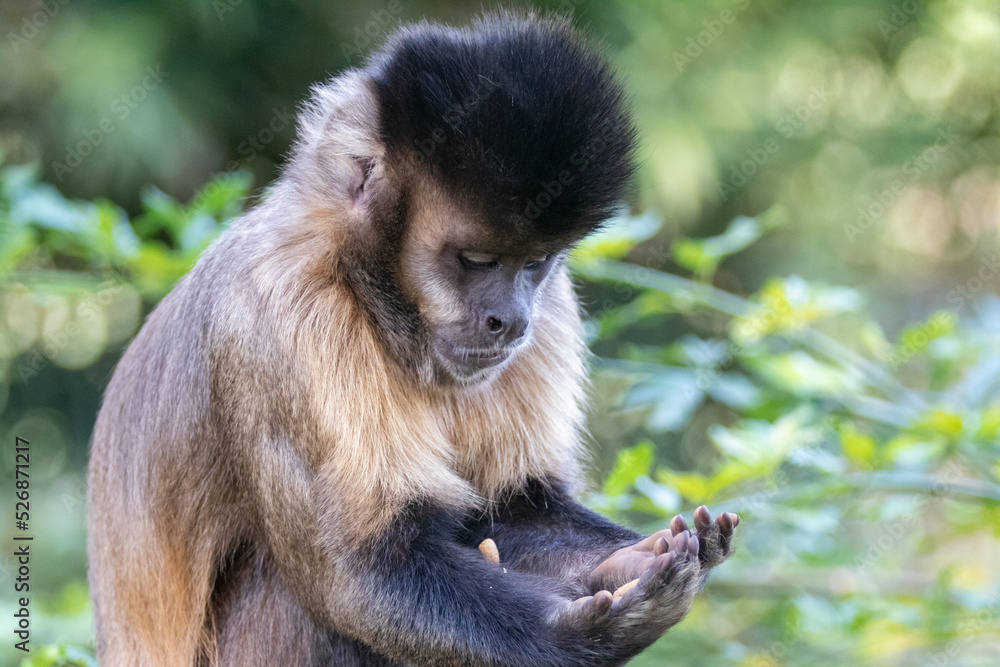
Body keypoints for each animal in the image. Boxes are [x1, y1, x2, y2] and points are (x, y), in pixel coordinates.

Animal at [86, 12, 740, 667]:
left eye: (534, 264)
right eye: (477, 261)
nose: (512, 320)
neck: (372, 296)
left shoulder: (552, 304)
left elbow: (511, 510)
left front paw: (628, 561)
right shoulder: (277, 316)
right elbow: (362, 574)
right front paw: (589, 633)